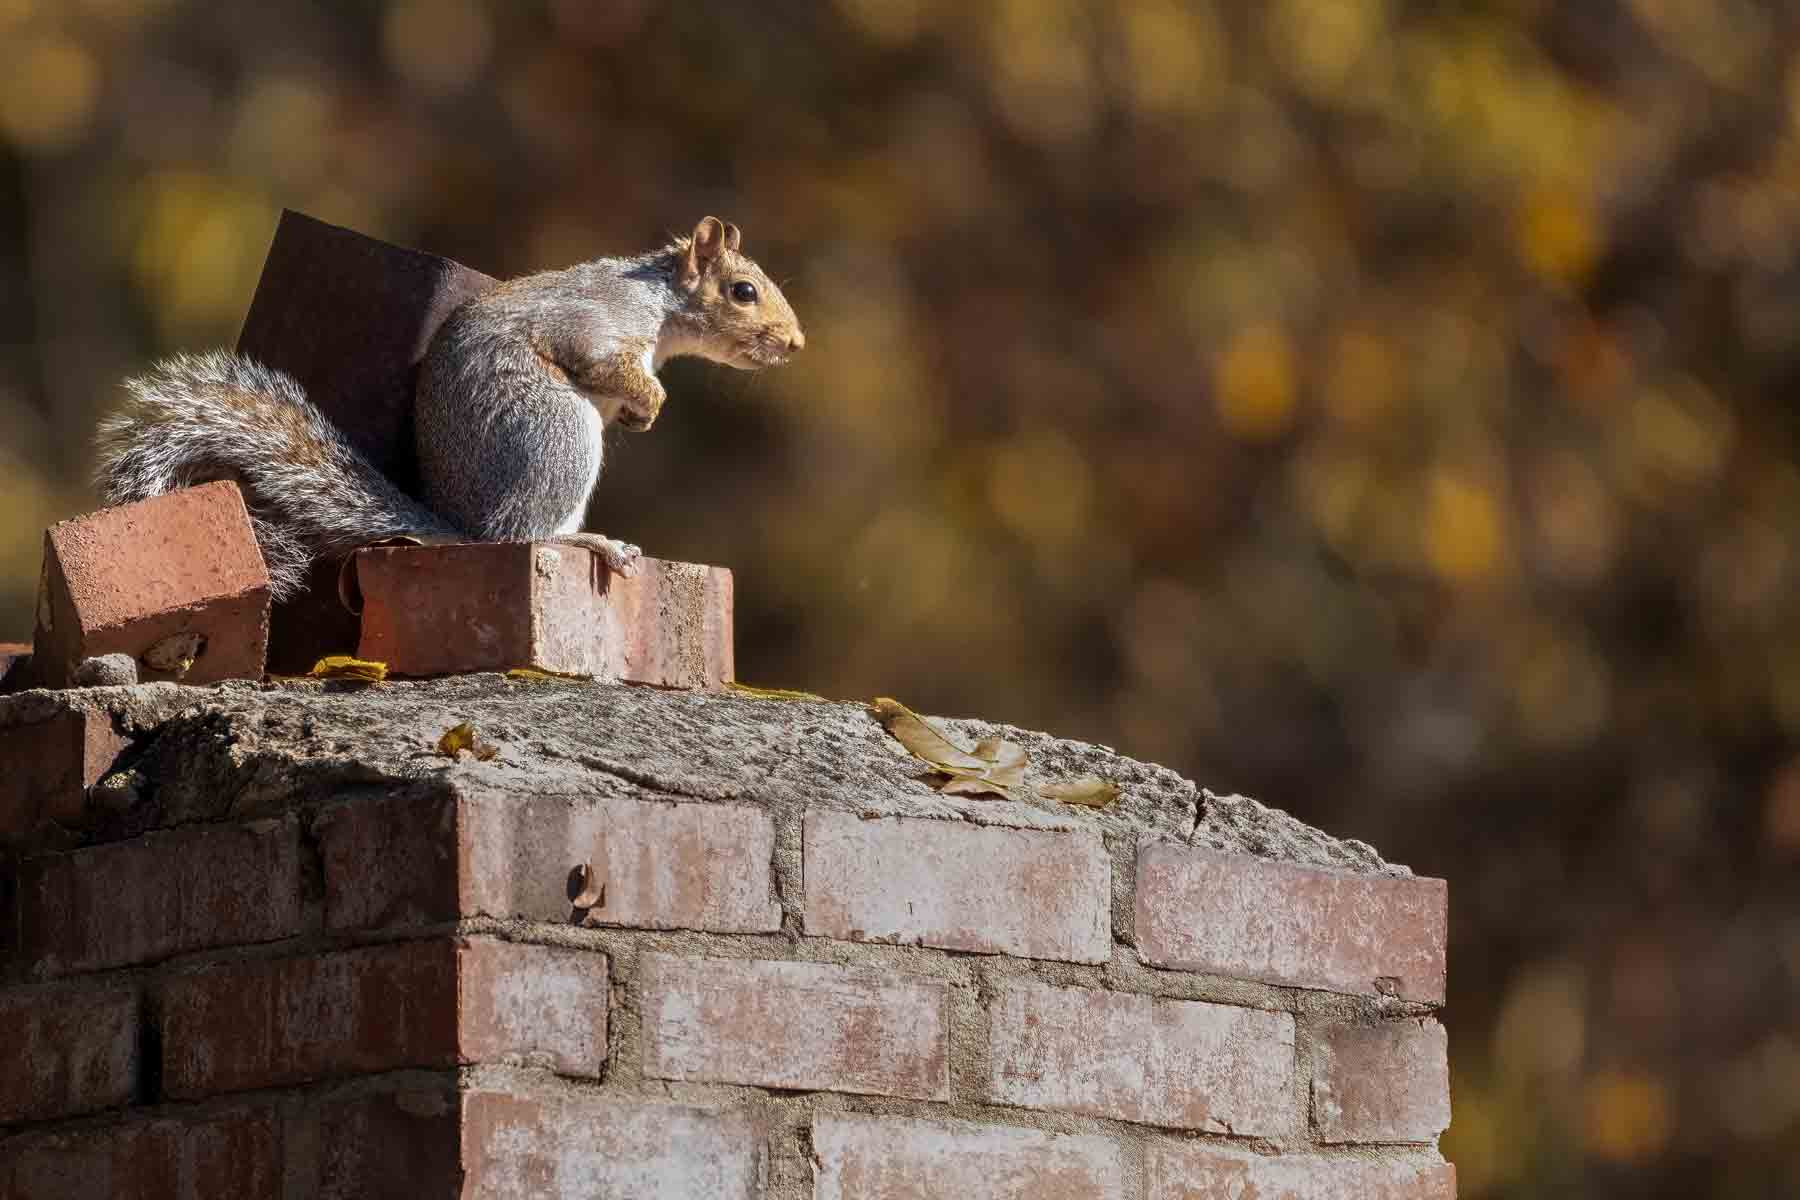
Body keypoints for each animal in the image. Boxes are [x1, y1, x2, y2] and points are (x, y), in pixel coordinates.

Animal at [94, 216, 806, 600]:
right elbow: (601, 360)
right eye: (743, 291)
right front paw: (651, 400)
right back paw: (587, 540)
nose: (796, 344)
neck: (659, 307)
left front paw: (640, 410)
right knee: (522, 534)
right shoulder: (599, 324)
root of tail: (463, 529)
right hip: (558, 434)